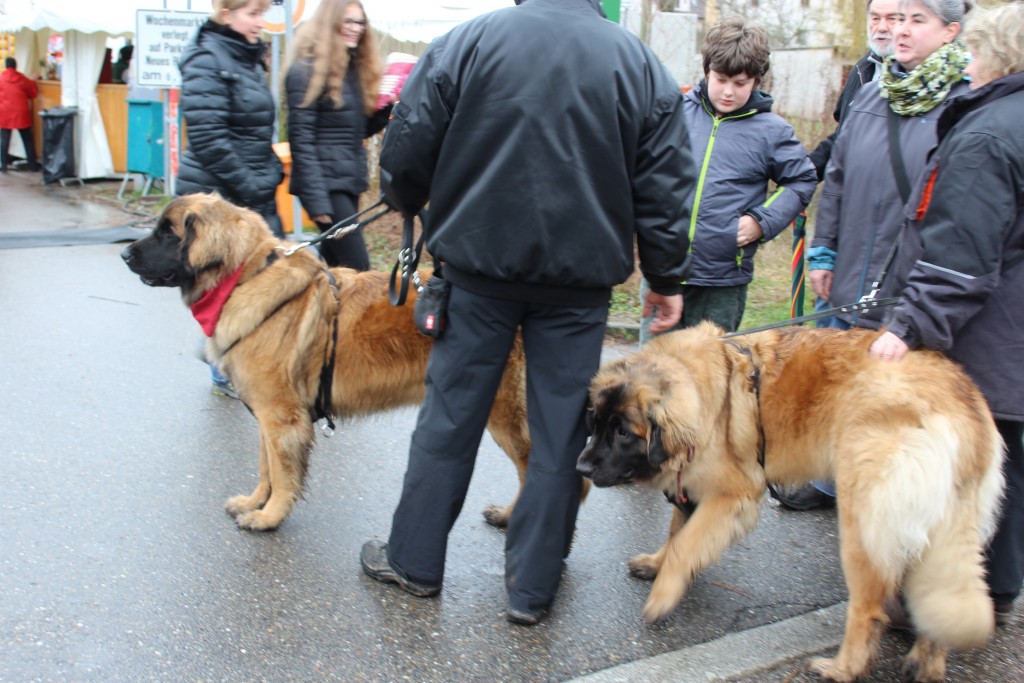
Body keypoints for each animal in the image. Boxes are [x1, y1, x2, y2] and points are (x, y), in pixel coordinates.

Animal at [121, 192, 544, 532]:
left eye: (169, 233)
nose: (124, 253)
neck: (244, 277)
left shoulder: (281, 417)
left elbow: (282, 473)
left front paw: (269, 517)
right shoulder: (266, 415)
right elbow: (265, 466)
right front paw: (254, 502)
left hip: (502, 414)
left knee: (538, 472)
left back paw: (512, 518)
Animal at [581, 323, 1003, 679]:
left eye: (622, 432)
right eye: (595, 422)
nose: (580, 466)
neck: (706, 396)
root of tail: (966, 402)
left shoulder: (733, 496)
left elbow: (685, 545)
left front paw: (662, 597)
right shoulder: (693, 487)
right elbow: (676, 535)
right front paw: (656, 565)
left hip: (864, 523)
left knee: (870, 609)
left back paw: (841, 669)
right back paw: (926, 663)